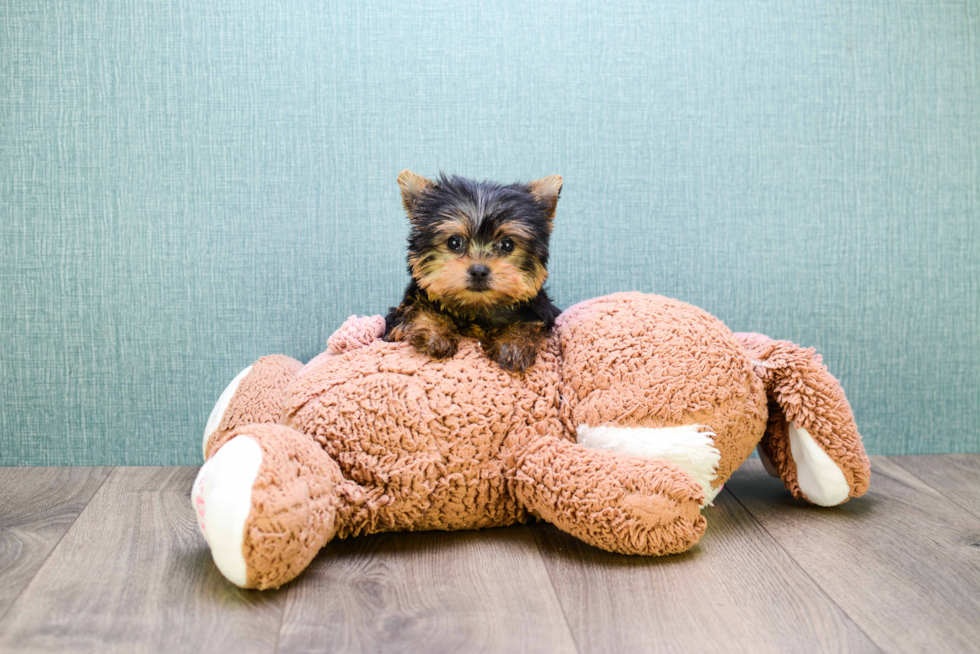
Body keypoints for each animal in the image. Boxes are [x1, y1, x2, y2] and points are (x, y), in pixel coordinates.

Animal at [384, 170, 564, 374]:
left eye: (507, 244)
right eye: (454, 242)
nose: (479, 271)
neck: (476, 307)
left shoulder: (541, 311)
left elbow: (530, 323)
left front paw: (514, 344)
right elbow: (418, 309)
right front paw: (434, 334)